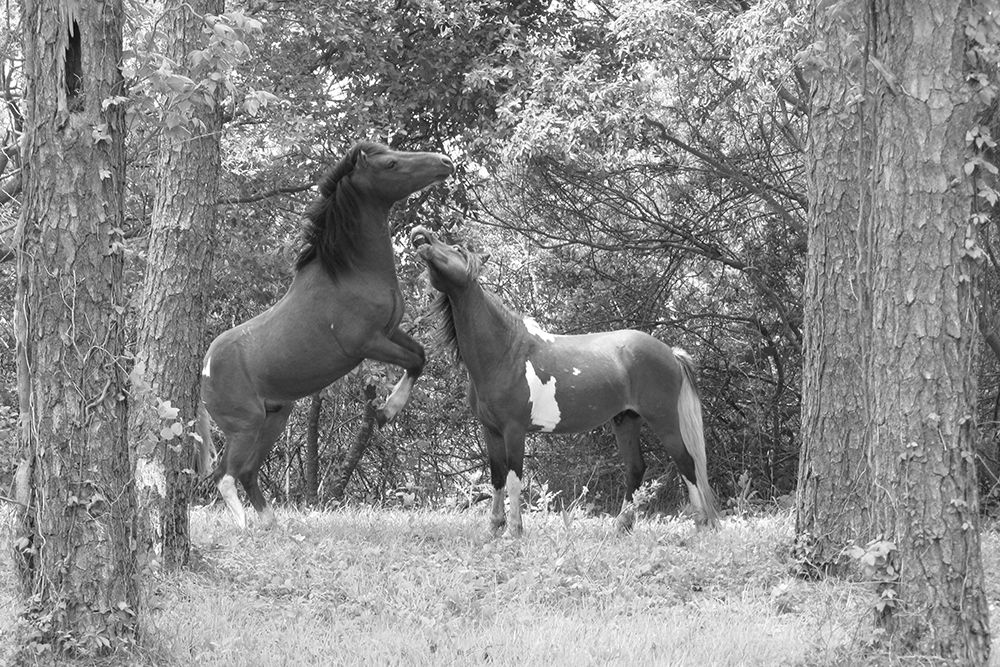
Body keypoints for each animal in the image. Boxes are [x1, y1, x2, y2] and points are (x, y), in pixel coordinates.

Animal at [195, 143, 454, 529]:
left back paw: (271, 525)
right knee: (224, 475)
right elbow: (413, 362)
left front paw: (385, 411)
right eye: (391, 163)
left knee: (247, 473)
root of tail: (205, 369)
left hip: (275, 418)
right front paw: (386, 412)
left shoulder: (390, 332)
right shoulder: (366, 344)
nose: (445, 162)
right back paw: (245, 527)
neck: (348, 272)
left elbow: (420, 357)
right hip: (245, 424)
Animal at [409, 226, 719, 536]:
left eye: (458, 249)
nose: (420, 234)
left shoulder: (514, 430)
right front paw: (494, 529)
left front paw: (514, 531)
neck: (505, 353)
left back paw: (701, 524)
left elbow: (513, 480)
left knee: (687, 463)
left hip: (663, 419)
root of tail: (671, 353)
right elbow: (496, 478)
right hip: (626, 420)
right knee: (636, 468)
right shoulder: (491, 431)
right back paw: (622, 526)